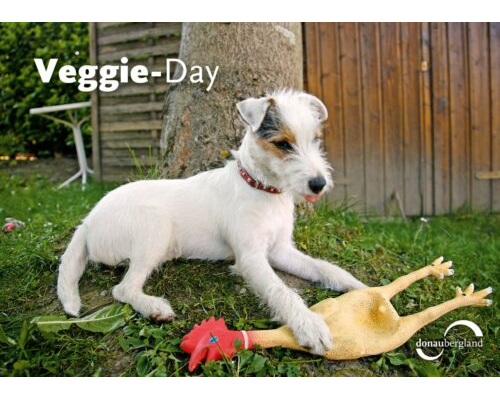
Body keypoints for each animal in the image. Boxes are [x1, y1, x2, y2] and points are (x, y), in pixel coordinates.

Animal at [56, 89, 366, 354]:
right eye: (282, 144)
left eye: (315, 140)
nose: (319, 184)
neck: (260, 188)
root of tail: (88, 221)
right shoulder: (251, 258)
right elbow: (281, 290)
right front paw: (308, 324)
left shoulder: (280, 250)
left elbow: (324, 267)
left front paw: (359, 288)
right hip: (154, 227)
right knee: (123, 288)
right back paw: (154, 307)